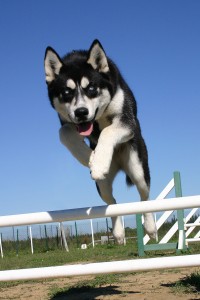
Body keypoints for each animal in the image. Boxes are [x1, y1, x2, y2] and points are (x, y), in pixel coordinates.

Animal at [44, 39, 157, 244]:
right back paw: (118, 233)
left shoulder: (127, 121)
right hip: (102, 186)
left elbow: (107, 131)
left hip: (138, 170)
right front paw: (90, 157)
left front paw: (98, 163)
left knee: (144, 198)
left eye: (91, 88)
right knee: (112, 203)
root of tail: (119, 163)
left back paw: (151, 228)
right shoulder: (67, 122)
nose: (81, 112)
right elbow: (64, 133)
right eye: (66, 92)